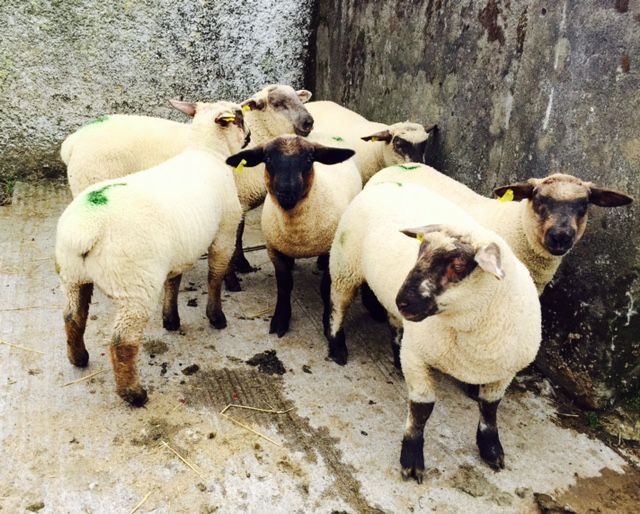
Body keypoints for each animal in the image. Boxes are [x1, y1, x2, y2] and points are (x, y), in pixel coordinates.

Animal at [55, 100, 248, 406]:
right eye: (240, 118)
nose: (250, 135)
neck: (206, 151)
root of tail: (85, 229)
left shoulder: (179, 250)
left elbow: (174, 281)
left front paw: (171, 319)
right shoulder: (225, 233)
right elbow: (215, 277)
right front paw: (216, 317)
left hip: (72, 275)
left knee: (72, 317)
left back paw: (78, 357)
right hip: (135, 287)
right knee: (123, 342)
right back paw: (133, 393)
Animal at [61, 84, 314, 290]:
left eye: (298, 98)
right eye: (278, 104)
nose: (309, 122)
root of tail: (72, 142)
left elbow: (239, 235)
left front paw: (242, 264)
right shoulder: (235, 200)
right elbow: (236, 235)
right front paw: (234, 274)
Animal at [226, 133, 360, 337]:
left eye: (309, 159)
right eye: (268, 159)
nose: (287, 191)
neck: (297, 233)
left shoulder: (332, 252)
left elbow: (325, 288)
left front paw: (326, 322)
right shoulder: (274, 249)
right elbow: (284, 284)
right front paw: (280, 320)